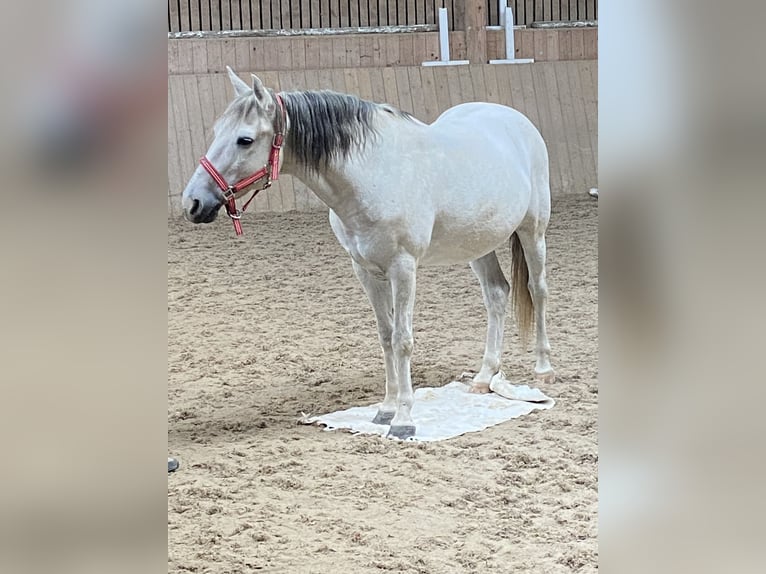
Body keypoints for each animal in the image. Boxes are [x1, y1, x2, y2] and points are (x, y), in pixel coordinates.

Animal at [181, 67, 554, 439]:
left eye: (244, 140)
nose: (193, 203)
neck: (372, 173)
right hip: (477, 244)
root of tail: (515, 119)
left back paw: (543, 368)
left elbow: (403, 340)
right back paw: (484, 376)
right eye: (216, 131)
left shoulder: (403, 268)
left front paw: (404, 420)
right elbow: (386, 336)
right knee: (497, 294)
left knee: (537, 291)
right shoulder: (365, 270)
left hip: (533, 232)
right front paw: (385, 410)